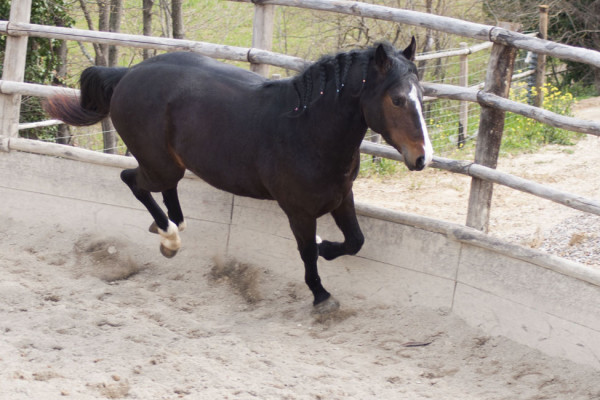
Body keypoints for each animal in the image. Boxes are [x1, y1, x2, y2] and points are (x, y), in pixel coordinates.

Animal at [45, 38, 432, 312]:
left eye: (422, 95)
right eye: (397, 100)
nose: (422, 157)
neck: (308, 130)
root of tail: (127, 74)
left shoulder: (341, 197)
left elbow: (354, 241)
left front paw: (327, 248)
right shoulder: (298, 210)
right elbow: (307, 251)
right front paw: (322, 296)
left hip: (170, 163)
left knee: (165, 192)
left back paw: (168, 229)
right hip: (158, 165)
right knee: (132, 180)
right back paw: (169, 238)